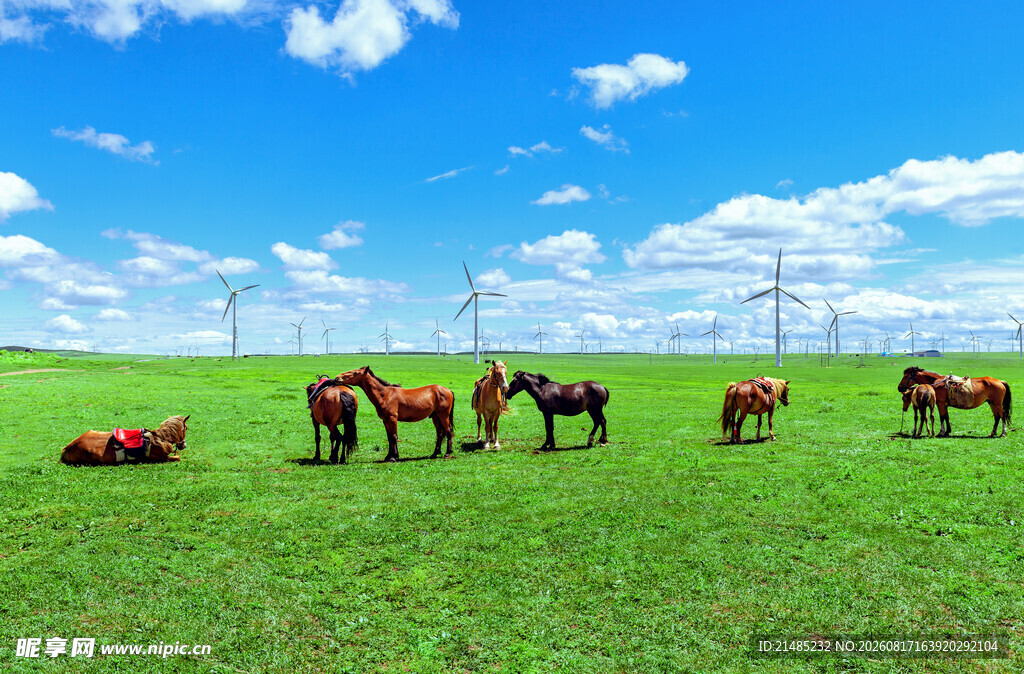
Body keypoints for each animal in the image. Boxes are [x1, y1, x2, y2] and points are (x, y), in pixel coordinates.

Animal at [61, 415, 190, 466]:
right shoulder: (161, 458)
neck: (160, 438)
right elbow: (177, 457)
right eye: (186, 428)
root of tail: (69, 447)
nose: (184, 444)